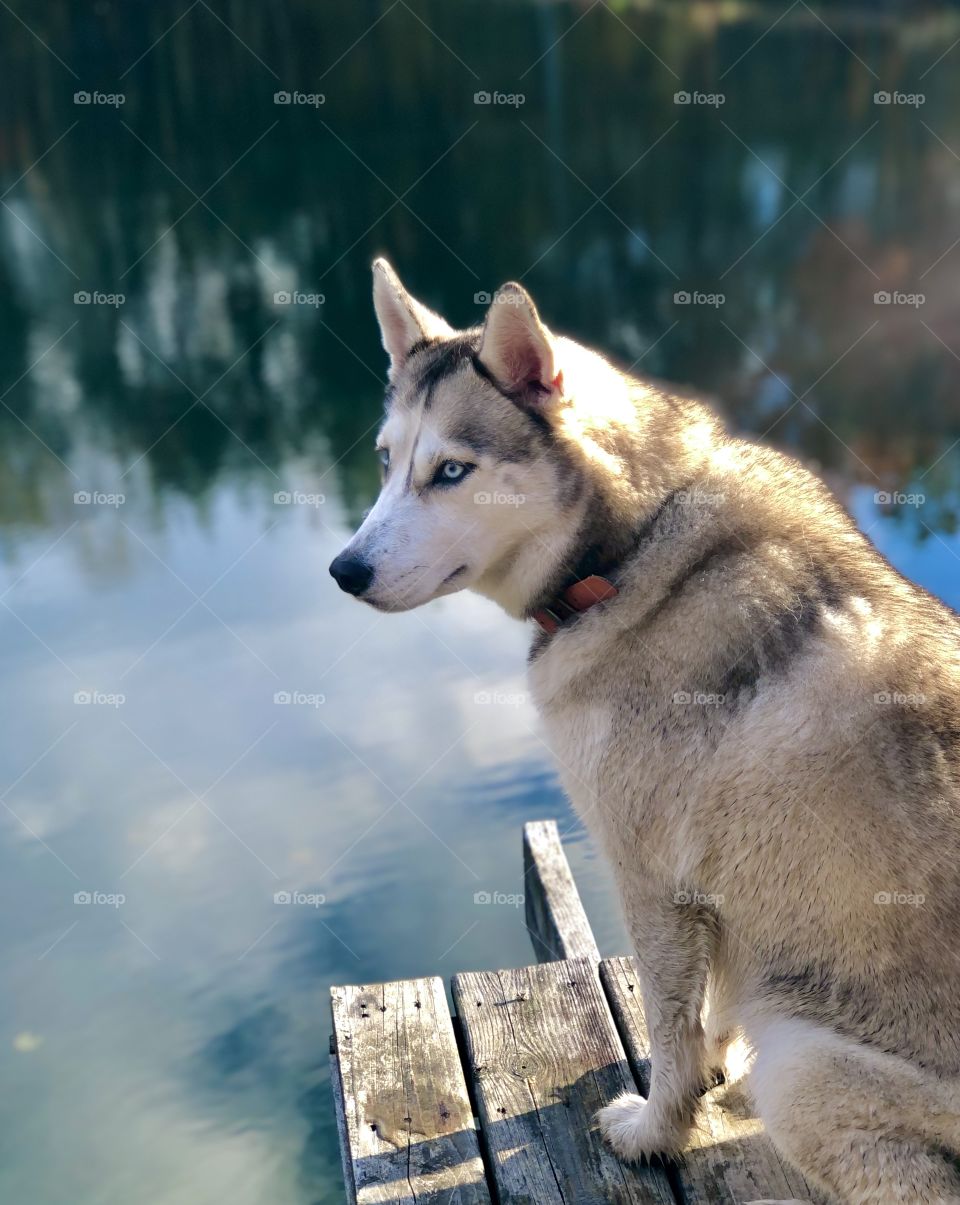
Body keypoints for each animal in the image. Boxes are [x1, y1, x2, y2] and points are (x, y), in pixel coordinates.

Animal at [330, 259, 958, 1200]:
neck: (628, 551)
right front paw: (710, 1066)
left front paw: (659, 1125)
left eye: (451, 469)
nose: (345, 569)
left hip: (809, 1070)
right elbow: (712, 1012)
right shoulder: (727, 902)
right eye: (385, 461)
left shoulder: (651, 876)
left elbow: (667, 1027)